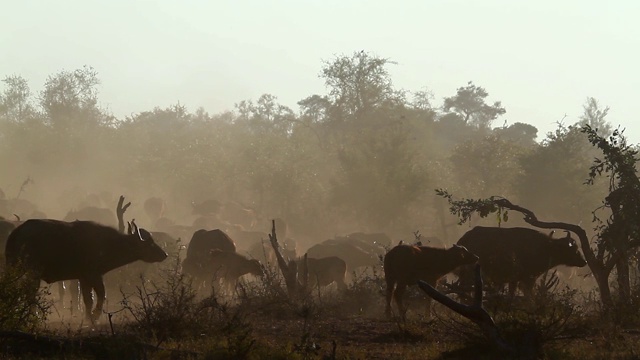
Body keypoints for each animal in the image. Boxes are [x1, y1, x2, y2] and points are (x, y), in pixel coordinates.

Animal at [6, 219, 166, 324]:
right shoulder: (94, 275)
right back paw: (34, 315)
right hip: (33, 272)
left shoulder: (83, 278)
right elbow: (101, 294)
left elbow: (88, 299)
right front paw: (95, 316)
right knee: (30, 293)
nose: (164, 254)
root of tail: (16, 233)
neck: (107, 244)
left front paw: (88, 317)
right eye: (150, 244)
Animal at [456, 228, 584, 296]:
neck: (545, 248)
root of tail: (464, 239)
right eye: (574, 249)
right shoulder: (527, 279)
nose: (584, 261)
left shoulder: (514, 280)